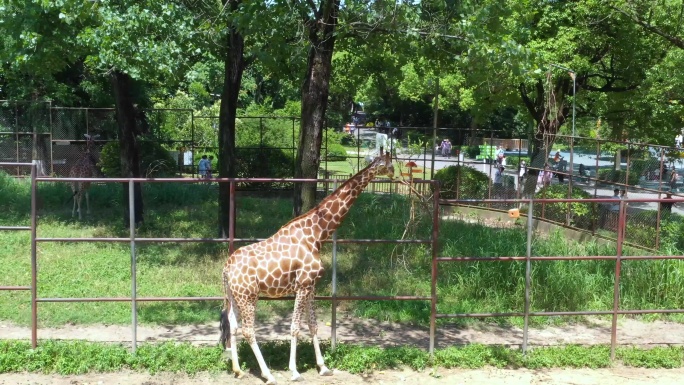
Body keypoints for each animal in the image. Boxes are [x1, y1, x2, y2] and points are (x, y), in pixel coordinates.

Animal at [222, 147, 396, 380]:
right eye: (389, 163)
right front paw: (294, 371)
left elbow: (312, 325)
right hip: (249, 296)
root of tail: (226, 268)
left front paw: (323, 367)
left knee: (232, 324)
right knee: (248, 330)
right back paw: (268, 375)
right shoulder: (303, 284)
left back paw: (238, 370)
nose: (394, 174)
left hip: (234, 295)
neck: (316, 235)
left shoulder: (312, 286)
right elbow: (295, 327)